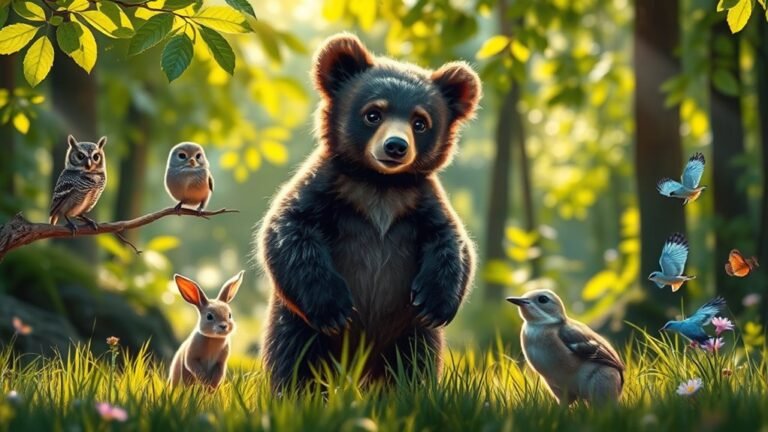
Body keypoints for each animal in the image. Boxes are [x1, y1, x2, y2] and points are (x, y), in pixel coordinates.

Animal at [256, 33, 481, 391]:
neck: (379, 185)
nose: (395, 146)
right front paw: (335, 308)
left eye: (420, 121)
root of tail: (357, 368)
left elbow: (451, 240)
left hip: (409, 333)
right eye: (373, 113)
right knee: (294, 361)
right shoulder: (328, 189)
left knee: (414, 365)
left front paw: (434, 303)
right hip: (293, 322)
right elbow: (290, 229)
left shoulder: (419, 202)